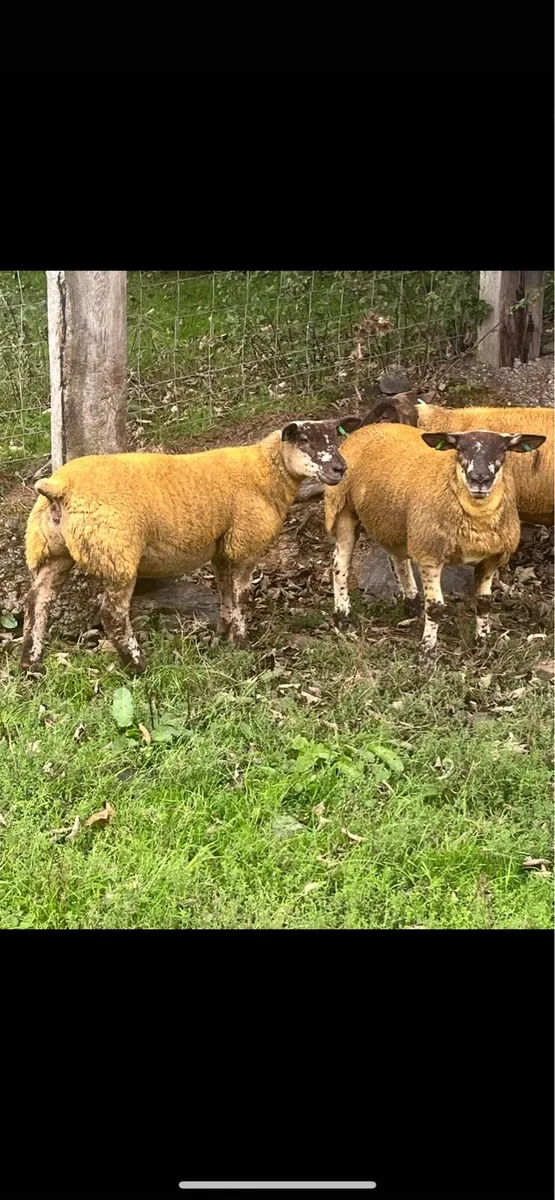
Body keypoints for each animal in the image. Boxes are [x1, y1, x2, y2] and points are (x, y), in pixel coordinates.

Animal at [21, 416, 362, 676]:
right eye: (304, 440)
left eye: (335, 437)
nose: (340, 469)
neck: (265, 472)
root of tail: (59, 488)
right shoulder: (244, 543)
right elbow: (241, 594)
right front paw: (241, 642)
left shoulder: (221, 547)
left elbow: (225, 590)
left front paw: (223, 632)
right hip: (116, 554)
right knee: (112, 614)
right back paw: (137, 665)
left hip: (50, 551)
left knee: (37, 601)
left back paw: (31, 663)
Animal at [324, 422, 546, 661]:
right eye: (460, 449)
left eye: (503, 450)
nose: (480, 480)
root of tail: (371, 426)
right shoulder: (431, 554)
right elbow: (436, 608)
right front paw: (427, 652)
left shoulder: (491, 557)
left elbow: (485, 604)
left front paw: (483, 646)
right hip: (342, 507)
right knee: (340, 564)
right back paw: (343, 618)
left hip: (397, 522)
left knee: (399, 559)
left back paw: (411, 603)